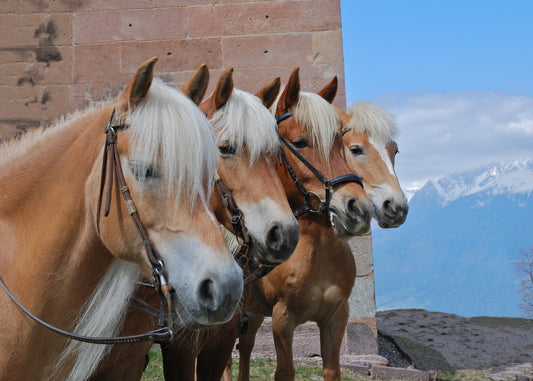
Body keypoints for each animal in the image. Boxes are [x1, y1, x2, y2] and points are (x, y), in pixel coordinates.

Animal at [234, 69, 374, 380]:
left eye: (341, 144)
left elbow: (332, 370)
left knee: (245, 349)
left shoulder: (336, 317)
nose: (358, 208)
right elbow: (285, 372)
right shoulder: (282, 319)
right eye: (299, 142)